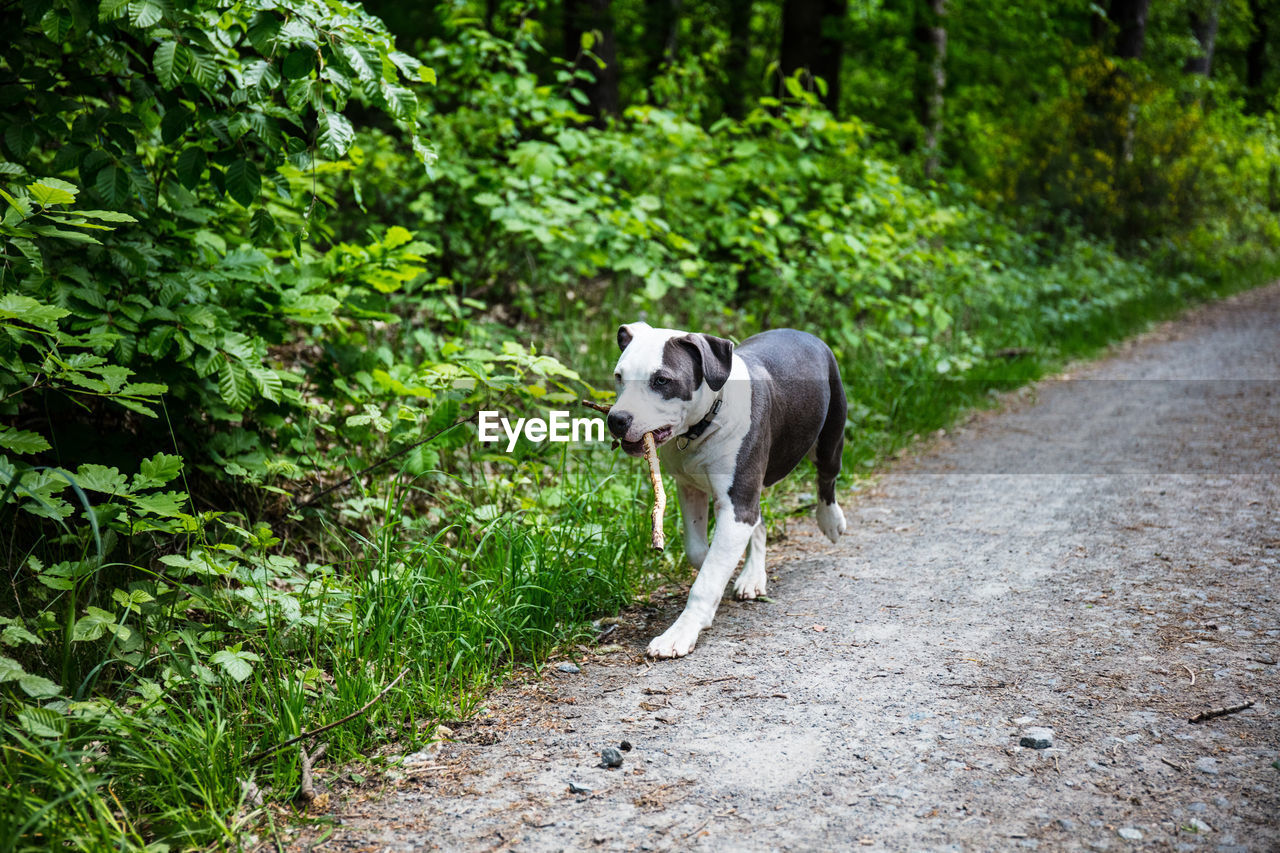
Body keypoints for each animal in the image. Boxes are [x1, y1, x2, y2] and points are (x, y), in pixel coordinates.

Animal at [604, 322, 844, 653]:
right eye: (619, 376)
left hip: (831, 432)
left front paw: (680, 632)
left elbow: (706, 580)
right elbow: (699, 552)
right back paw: (752, 576)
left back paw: (830, 520)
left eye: (662, 380)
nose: (617, 419)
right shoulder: (691, 488)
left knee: (827, 477)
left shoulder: (737, 505)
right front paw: (721, 565)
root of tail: (803, 333)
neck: (706, 421)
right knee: (759, 521)